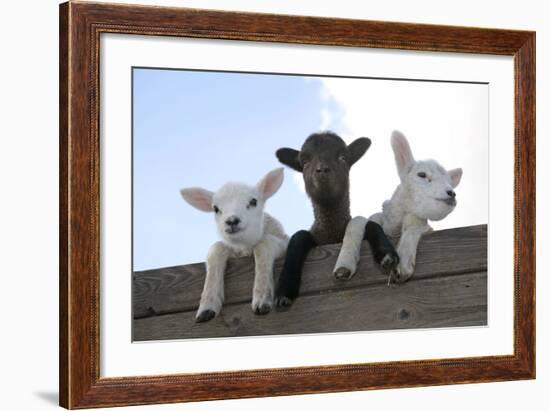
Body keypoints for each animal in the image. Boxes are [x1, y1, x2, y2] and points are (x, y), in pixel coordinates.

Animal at [183, 167, 292, 322]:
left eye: (253, 201)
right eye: (215, 208)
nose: (232, 221)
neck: (245, 246)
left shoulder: (284, 241)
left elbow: (263, 245)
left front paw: (262, 299)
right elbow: (216, 248)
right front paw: (207, 307)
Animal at [334, 132, 464, 284]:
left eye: (450, 183)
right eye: (422, 174)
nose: (452, 193)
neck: (393, 228)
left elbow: (414, 221)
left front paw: (403, 263)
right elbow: (358, 221)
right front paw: (344, 265)